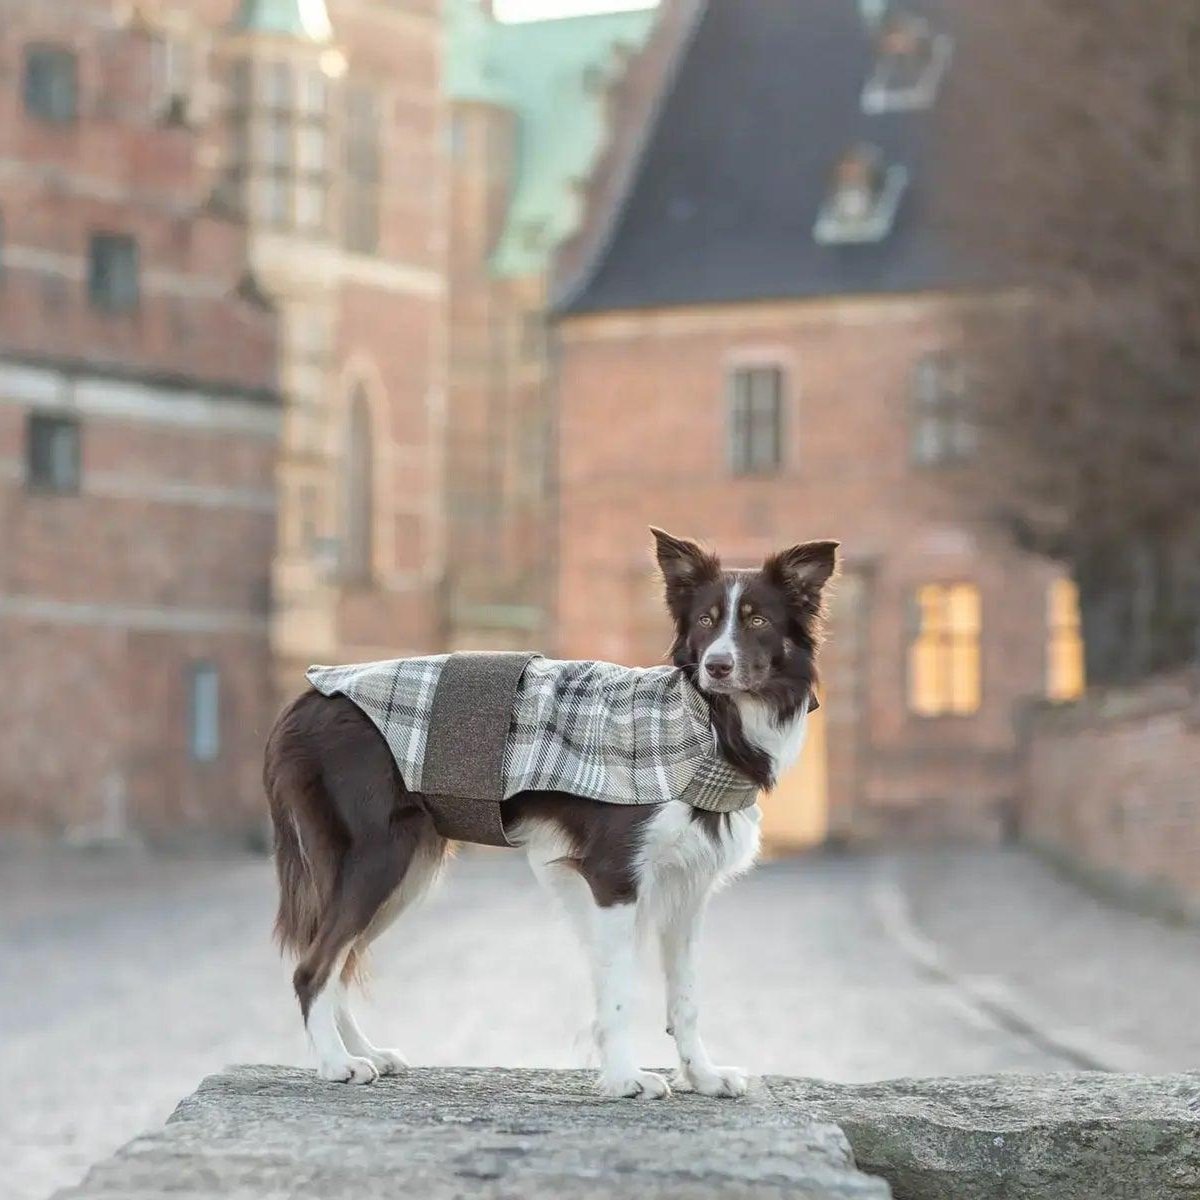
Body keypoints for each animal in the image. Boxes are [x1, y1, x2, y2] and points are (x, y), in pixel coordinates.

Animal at [267, 530, 840, 1099]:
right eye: (705, 620)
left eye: (758, 621)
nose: (717, 666)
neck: (708, 722)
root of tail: (310, 697)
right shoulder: (613, 877)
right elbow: (619, 990)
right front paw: (625, 1077)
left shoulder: (687, 891)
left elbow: (686, 998)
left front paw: (702, 1075)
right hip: (381, 858)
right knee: (314, 967)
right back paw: (335, 1063)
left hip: (407, 872)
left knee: (339, 963)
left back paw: (364, 1052)